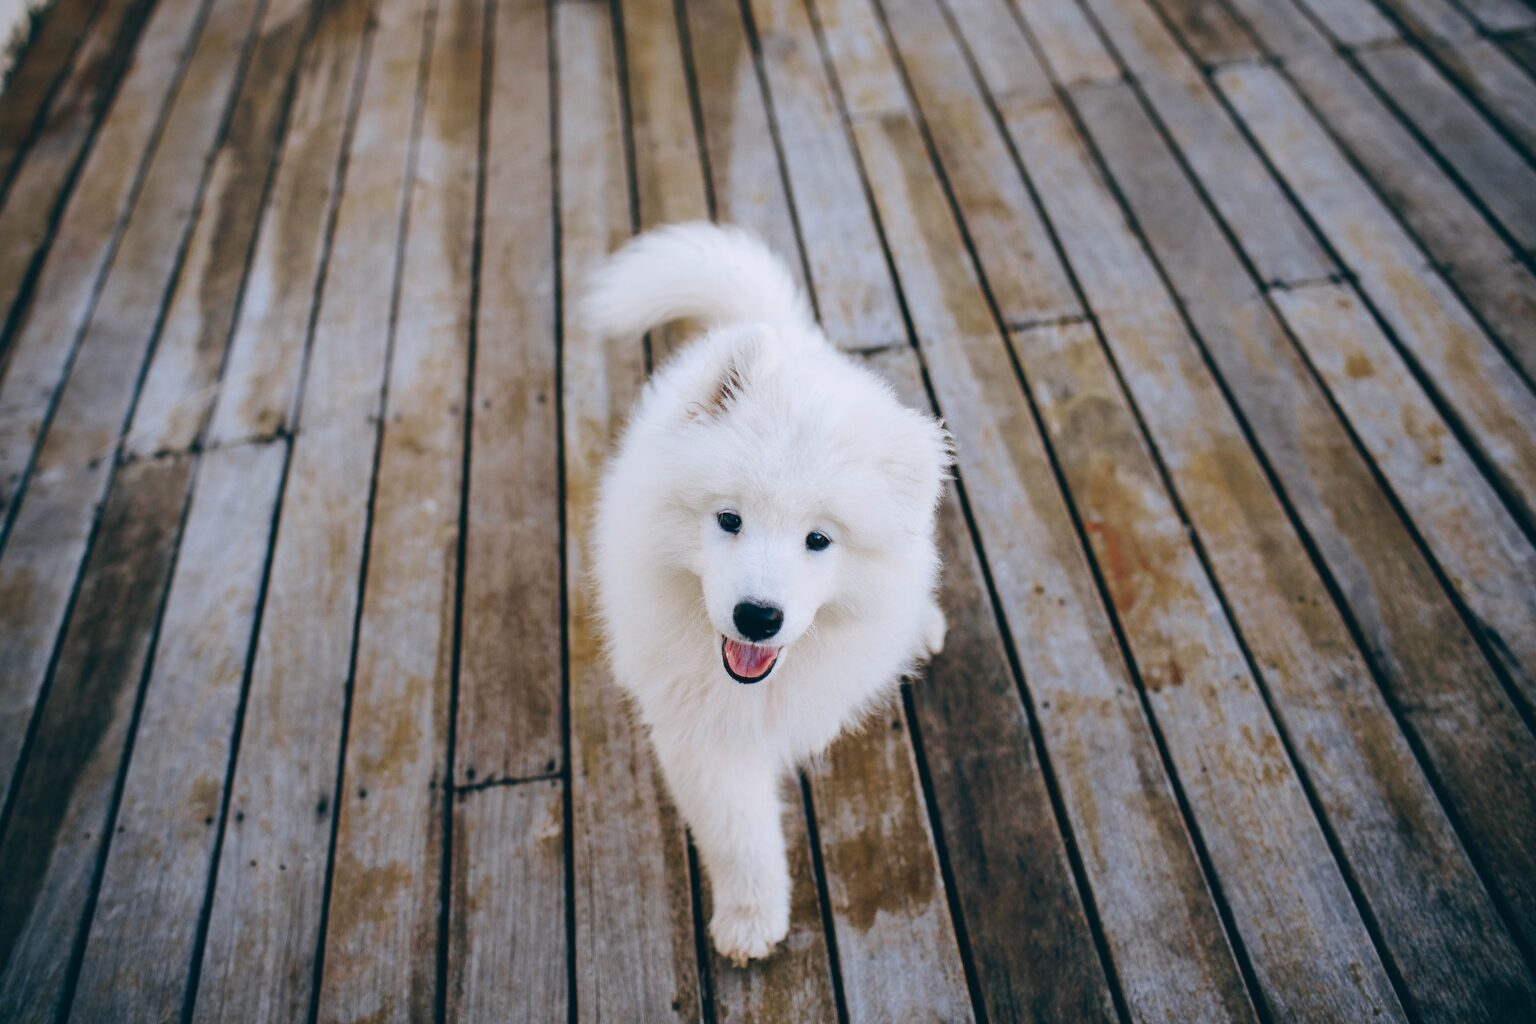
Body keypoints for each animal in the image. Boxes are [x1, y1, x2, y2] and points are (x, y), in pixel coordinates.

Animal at [583, 222, 946, 964]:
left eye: (819, 540)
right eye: (729, 520)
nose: (756, 617)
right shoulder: (702, 732)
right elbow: (737, 834)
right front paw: (750, 920)